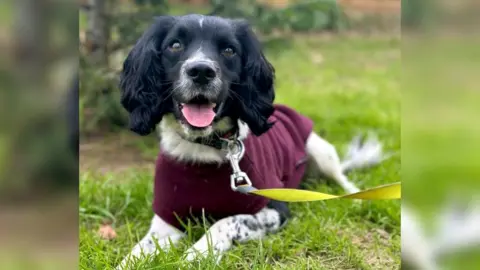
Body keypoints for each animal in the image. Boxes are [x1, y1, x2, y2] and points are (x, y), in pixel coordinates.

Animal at [116, 14, 390, 268]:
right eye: (175, 45)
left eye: (229, 50)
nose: (201, 71)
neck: (204, 148)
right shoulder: (166, 220)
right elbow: (139, 250)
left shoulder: (275, 209)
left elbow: (226, 222)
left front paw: (197, 254)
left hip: (320, 149)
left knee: (342, 178)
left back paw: (356, 197)